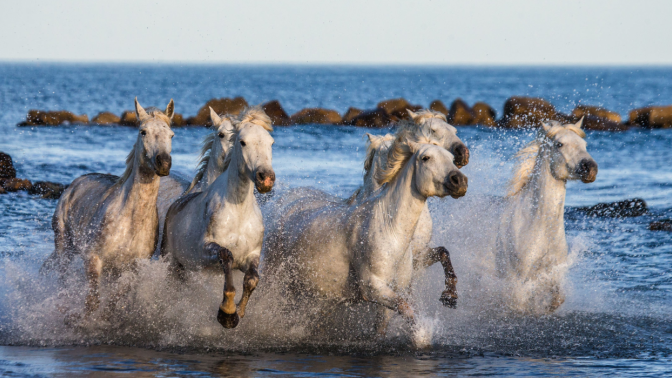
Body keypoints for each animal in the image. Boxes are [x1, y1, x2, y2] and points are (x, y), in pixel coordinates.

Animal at [161, 105, 274, 328]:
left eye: (271, 142)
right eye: (243, 141)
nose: (266, 178)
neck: (239, 212)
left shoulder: (252, 255)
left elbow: (252, 280)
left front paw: (239, 312)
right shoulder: (207, 251)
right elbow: (226, 257)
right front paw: (227, 313)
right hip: (172, 264)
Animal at [262, 128, 468, 336]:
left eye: (451, 158)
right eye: (426, 158)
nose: (460, 181)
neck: (390, 231)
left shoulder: (396, 288)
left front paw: (450, 297)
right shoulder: (373, 287)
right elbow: (407, 309)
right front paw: (421, 335)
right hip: (278, 281)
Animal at [350, 108, 470, 308]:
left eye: (454, 130)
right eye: (433, 130)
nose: (462, 153)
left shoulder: (419, 256)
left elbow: (443, 253)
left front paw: (450, 295)